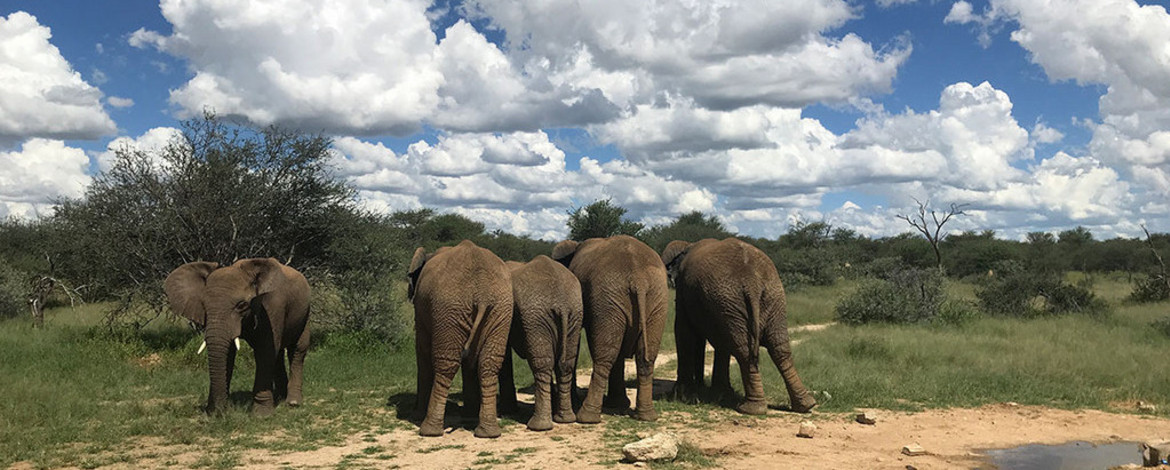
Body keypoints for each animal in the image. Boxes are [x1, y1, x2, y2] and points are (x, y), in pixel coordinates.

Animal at [166, 257, 311, 413]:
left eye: (242, 305)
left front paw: (261, 414)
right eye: (204, 306)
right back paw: (280, 397)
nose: (220, 411)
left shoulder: (272, 304)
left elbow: (265, 351)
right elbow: (228, 354)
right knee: (278, 355)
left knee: (297, 350)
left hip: (305, 313)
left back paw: (293, 402)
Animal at [409, 240, 514, 439]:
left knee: (446, 364)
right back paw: (488, 432)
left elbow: (422, 351)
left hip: (448, 306)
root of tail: (482, 293)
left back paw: (429, 430)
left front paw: (417, 414)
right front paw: (469, 414)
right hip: (500, 307)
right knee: (489, 363)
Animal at [496, 254, 582, 432]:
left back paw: (538, 426)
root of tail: (562, 303)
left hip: (536, 319)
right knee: (564, 365)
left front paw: (505, 411)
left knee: (542, 366)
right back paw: (565, 419)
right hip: (573, 314)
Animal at [549, 235, 669, 423]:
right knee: (645, 357)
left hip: (609, 299)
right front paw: (618, 404)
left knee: (604, 357)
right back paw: (646, 416)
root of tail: (639, 278)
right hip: (656, 298)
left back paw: (587, 417)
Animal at [664, 238, 819, 413]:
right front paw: (718, 393)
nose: (700, 384)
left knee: (745, 351)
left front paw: (682, 396)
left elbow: (683, 332)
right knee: (779, 348)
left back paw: (750, 409)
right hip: (765, 299)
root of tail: (752, 282)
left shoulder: (685, 292)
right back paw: (805, 404)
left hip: (738, 298)